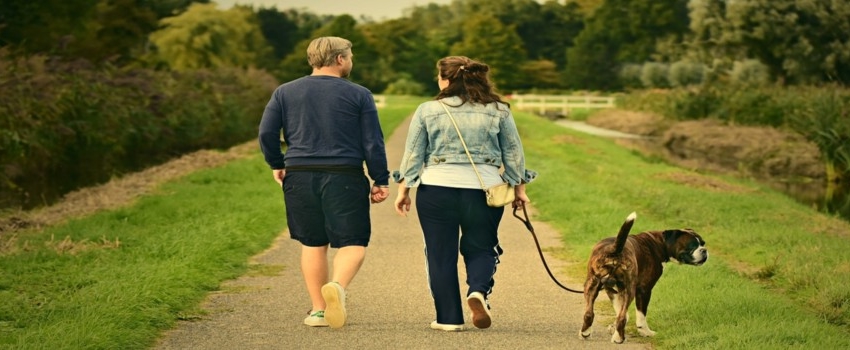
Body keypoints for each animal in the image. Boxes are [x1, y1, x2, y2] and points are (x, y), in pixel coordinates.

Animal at [580, 212, 704, 344]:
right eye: (692, 246)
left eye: (703, 243)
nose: (704, 250)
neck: (660, 243)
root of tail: (614, 249)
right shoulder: (644, 290)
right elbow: (640, 315)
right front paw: (646, 332)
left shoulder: (612, 290)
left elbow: (622, 312)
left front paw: (613, 328)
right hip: (629, 289)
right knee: (621, 317)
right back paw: (619, 338)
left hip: (591, 285)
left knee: (589, 313)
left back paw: (585, 333)